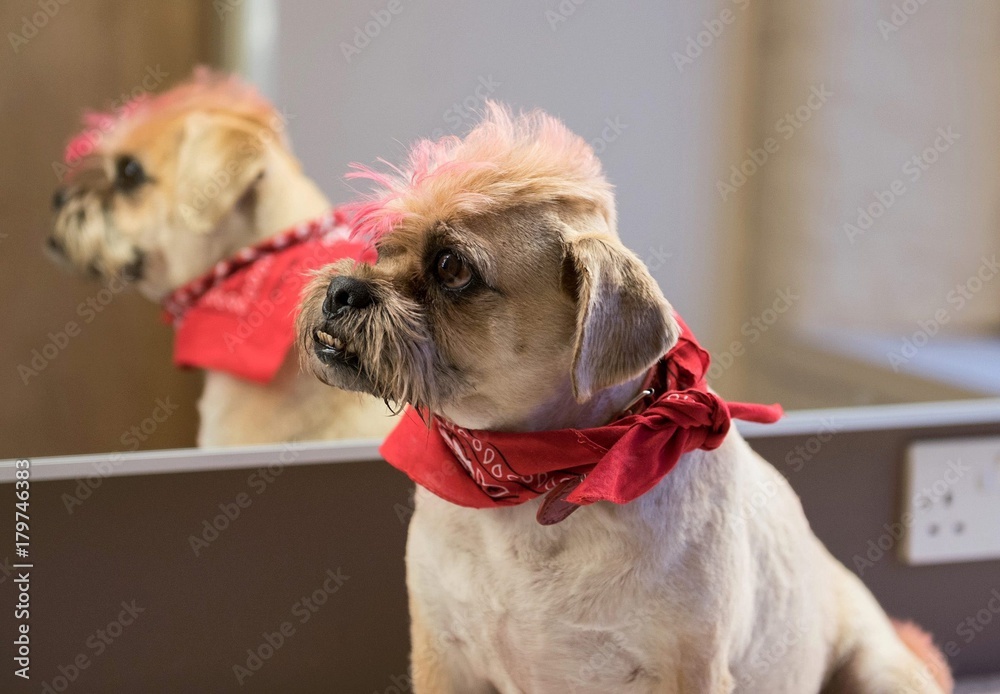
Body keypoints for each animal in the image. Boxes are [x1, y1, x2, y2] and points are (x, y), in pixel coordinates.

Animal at [298, 104, 952, 694]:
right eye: (384, 247)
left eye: (452, 267)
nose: (343, 289)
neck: (538, 479)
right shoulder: (443, 654)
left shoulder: (690, 670)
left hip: (882, 672)